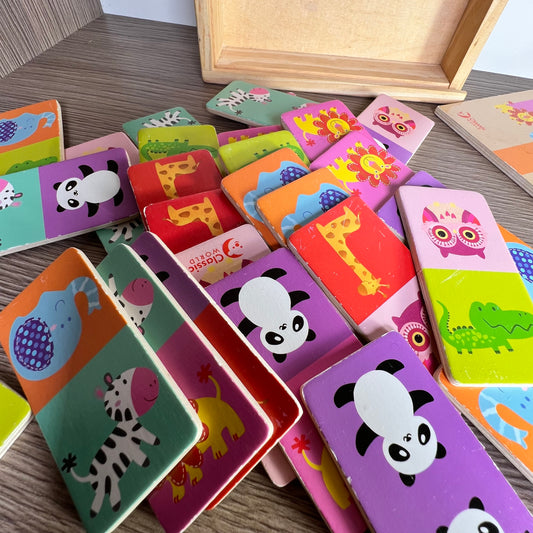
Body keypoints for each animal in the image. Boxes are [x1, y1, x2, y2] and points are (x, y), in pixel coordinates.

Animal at [62, 367, 160, 517]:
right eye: (124, 382)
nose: (153, 381)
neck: (126, 423)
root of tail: (90, 476)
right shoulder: (131, 441)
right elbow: (143, 447)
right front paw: (150, 455)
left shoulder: (135, 437)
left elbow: (144, 445)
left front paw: (152, 448)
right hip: (105, 482)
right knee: (102, 497)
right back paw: (98, 512)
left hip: (110, 482)